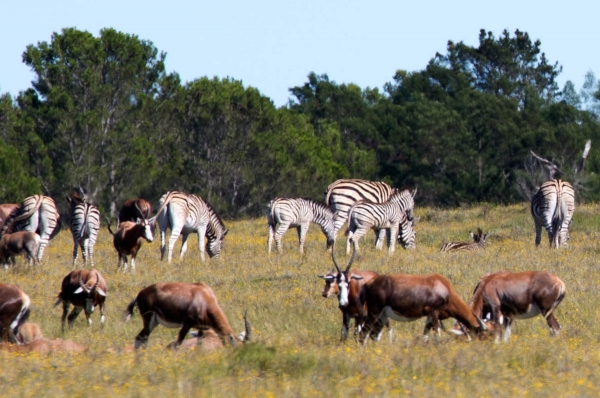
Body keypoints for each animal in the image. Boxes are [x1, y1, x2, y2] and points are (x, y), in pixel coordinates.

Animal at [358, 272, 486, 344]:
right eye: (483, 334)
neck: (442, 285)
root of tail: (367, 284)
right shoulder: (434, 312)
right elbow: (437, 334)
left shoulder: (429, 316)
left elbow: (425, 335)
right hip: (374, 311)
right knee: (363, 333)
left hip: (383, 315)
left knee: (373, 335)